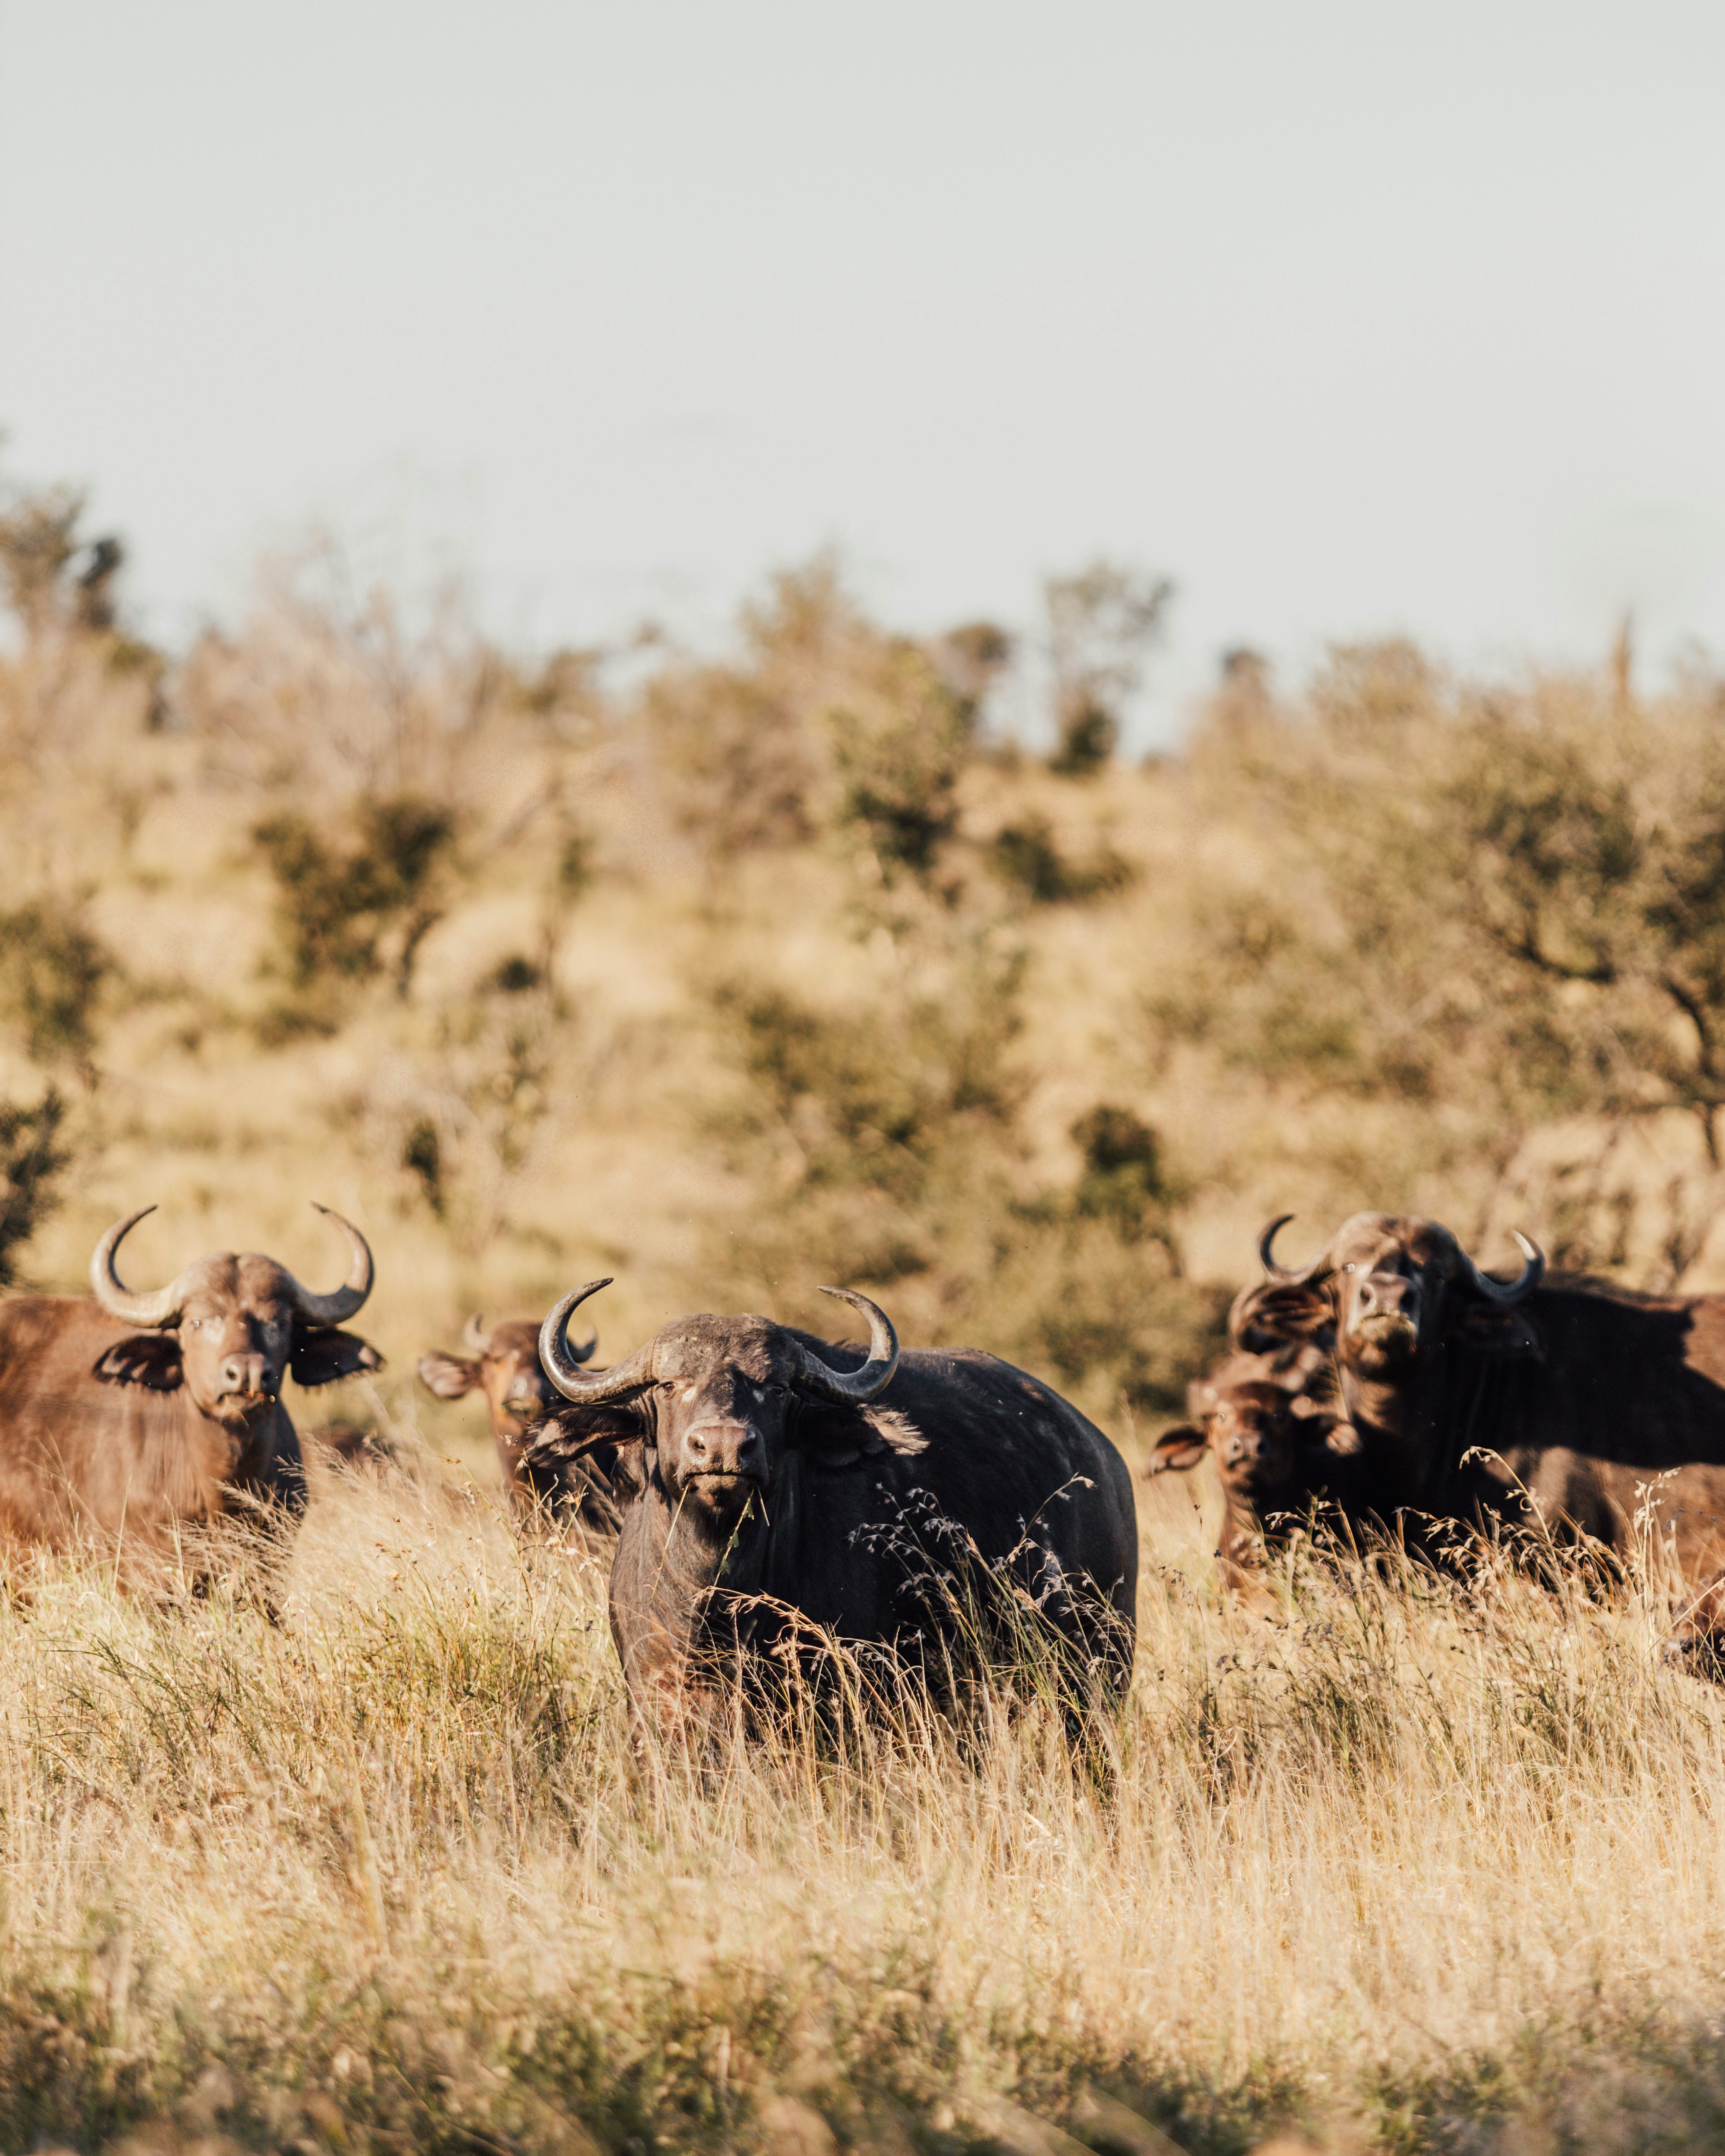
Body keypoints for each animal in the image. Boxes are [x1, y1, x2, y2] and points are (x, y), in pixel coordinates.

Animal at [526, 1281, 1139, 1730]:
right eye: (670, 1385)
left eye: (775, 1388)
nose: (723, 1446)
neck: (718, 1598)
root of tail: (1101, 1457)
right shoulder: (660, 1700)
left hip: (1098, 1667)